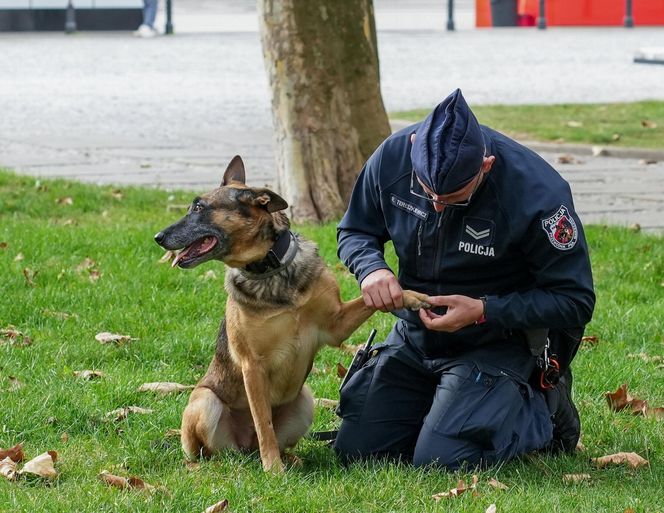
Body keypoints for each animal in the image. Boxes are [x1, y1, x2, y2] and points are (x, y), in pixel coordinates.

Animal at [153, 156, 428, 472]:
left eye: (199, 207)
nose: (158, 237)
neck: (272, 271)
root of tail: (244, 448)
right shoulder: (252, 365)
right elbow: (264, 423)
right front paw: (273, 469)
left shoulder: (335, 324)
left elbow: (372, 298)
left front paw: (413, 297)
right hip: (205, 401)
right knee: (212, 452)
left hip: (305, 401)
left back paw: (292, 458)